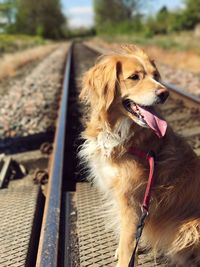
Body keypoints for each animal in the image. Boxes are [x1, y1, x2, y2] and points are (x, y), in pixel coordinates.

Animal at [78, 45, 200, 266]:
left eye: (156, 76)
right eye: (134, 77)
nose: (165, 93)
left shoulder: (131, 201)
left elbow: (127, 244)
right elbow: (127, 238)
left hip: (189, 228)